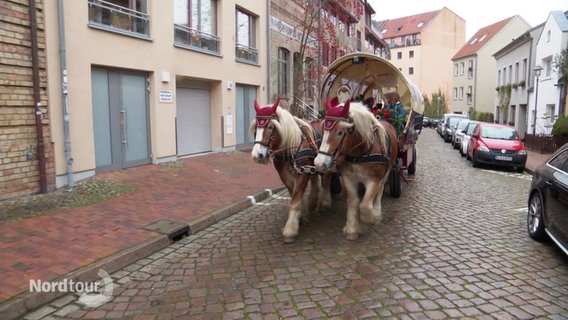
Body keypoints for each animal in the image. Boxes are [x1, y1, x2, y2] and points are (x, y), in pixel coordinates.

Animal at [250, 97, 332, 242]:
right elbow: (294, 195)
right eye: (256, 127)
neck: (291, 148)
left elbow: (295, 199)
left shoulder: (302, 174)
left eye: (271, 126)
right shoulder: (286, 176)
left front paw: (290, 229)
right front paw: (302, 216)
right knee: (315, 180)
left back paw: (325, 202)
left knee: (327, 178)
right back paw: (312, 201)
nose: (257, 155)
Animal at [316, 99, 400, 239]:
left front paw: (370, 218)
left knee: (380, 190)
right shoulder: (348, 178)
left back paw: (376, 211)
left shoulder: (374, 180)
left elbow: (365, 206)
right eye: (323, 130)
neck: (360, 153)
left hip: (388, 170)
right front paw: (351, 228)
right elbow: (353, 201)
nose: (319, 163)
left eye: (340, 132)